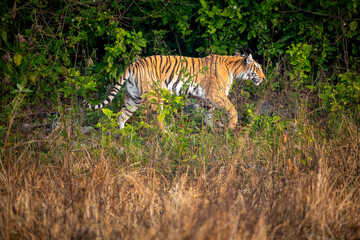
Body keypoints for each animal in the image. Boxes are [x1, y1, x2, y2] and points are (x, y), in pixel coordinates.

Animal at [82, 54, 268, 131]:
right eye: (258, 68)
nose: (264, 78)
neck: (234, 69)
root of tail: (134, 63)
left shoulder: (205, 98)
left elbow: (208, 114)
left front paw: (212, 129)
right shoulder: (216, 95)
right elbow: (232, 109)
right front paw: (232, 126)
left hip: (133, 97)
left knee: (122, 114)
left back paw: (122, 135)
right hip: (155, 96)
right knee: (156, 118)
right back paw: (167, 134)